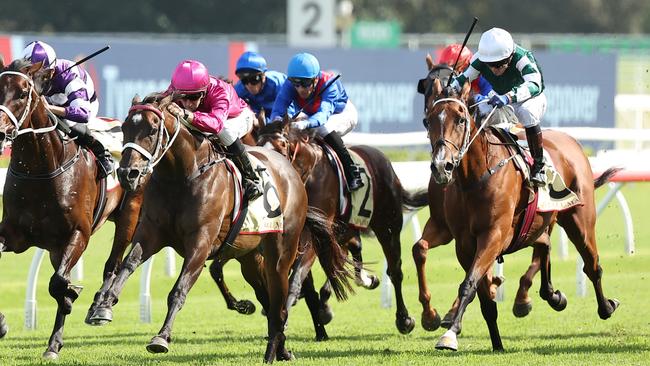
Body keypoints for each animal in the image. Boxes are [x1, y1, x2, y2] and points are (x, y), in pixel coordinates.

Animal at [0, 59, 141, 358]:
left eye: (22, 93)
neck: (41, 170)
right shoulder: (14, 234)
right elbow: (57, 281)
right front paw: (2, 323)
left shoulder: (77, 234)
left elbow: (57, 283)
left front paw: (71, 295)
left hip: (130, 213)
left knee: (113, 263)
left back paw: (98, 308)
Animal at [89, 96, 352, 362]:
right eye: (124, 128)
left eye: (152, 130)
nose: (127, 174)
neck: (181, 176)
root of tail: (291, 171)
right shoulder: (151, 233)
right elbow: (127, 265)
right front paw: (103, 306)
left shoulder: (201, 241)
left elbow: (179, 289)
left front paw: (161, 338)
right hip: (250, 258)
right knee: (268, 301)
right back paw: (282, 348)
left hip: (281, 252)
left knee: (279, 302)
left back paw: (276, 348)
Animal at [256, 117, 428, 334]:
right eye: (258, 144)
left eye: (281, 145)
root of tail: (384, 161)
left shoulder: (313, 234)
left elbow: (295, 278)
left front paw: (283, 318)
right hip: (344, 229)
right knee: (349, 251)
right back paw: (360, 283)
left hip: (388, 226)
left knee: (395, 270)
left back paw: (404, 319)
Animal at [426, 78, 616, 352]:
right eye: (428, 120)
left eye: (460, 119)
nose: (442, 166)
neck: (475, 177)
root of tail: (571, 142)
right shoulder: (464, 244)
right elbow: (483, 297)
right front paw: (496, 343)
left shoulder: (493, 236)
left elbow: (468, 284)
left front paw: (450, 334)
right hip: (541, 222)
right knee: (545, 245)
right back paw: (553, 295)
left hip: (580, 221)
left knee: (592, 265)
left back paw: (606, 307)